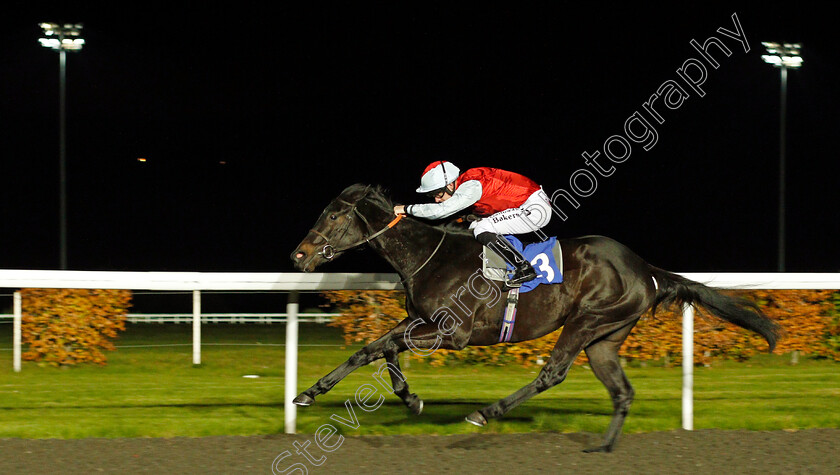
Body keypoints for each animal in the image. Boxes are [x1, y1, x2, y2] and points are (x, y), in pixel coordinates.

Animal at [290, 184, 780, 452]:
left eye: (332, 215)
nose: (299, 255)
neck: (430, 255)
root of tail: (646, 269)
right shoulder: (420, 323)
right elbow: (372, 349)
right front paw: (312, 394)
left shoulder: (454, 333)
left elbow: (385, 346)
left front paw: (409, 399)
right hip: (605, 338)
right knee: (621, 392)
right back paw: (602, 448)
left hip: (586, 321)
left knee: (553, 373)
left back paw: (486, 413)